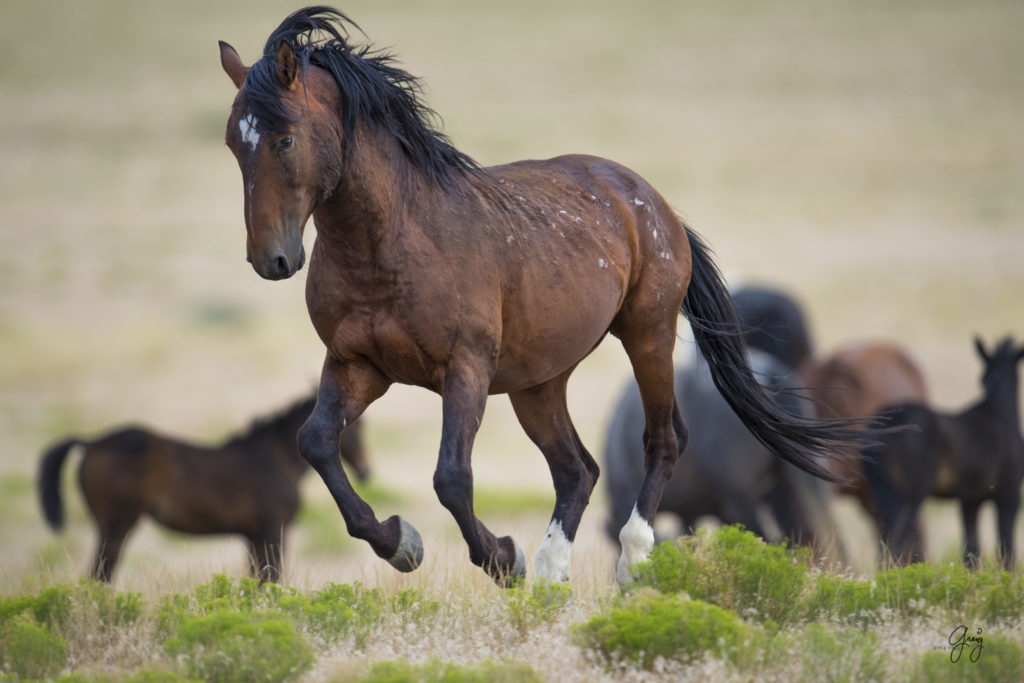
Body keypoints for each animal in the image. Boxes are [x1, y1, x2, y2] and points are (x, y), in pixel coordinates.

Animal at [39, 395, 368, 581]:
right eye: (355, 426)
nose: (366, 471)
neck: (275, 456)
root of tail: (91, 442)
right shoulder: (272, 531)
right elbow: (271, 577)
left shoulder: (252, 537)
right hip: (116, 526)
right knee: (100, 574)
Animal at [216, 6, 864, 589]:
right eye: (232, 143)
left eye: (285, 140)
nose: (272, 259)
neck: (391, 241)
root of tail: (652, 200)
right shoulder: (357, 365)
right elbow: (317, 443)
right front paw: (402, 543)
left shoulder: (465, 369)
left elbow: (451, 477)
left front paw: (503, 559)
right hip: (538, 383)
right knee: (577, 470)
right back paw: (553, 576)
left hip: (647, 334)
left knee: (663, 440)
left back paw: (632, 562)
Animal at [864, 335, 1024, 565]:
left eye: (982, 377)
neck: (1000, 412)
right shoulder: (1009, 492)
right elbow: (1006, 548)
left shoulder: (970, 499)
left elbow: (971, 549)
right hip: (911, 492)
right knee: (897, 536)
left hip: (882, 492)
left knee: (884, 536)